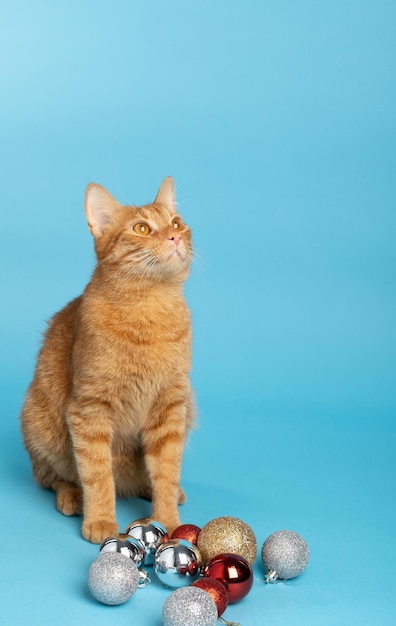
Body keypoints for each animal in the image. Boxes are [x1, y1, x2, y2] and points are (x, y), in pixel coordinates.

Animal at [20, 177, 194, 540]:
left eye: (175, 223)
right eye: (141, 228)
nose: (173, 237)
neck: (150, 310)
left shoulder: (171, 407)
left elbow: (167, 470)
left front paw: (169, 521)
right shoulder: (90, 409)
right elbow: (97, 473)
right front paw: (100, 519)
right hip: (41, 425)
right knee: (54, 477)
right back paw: (73, 497)